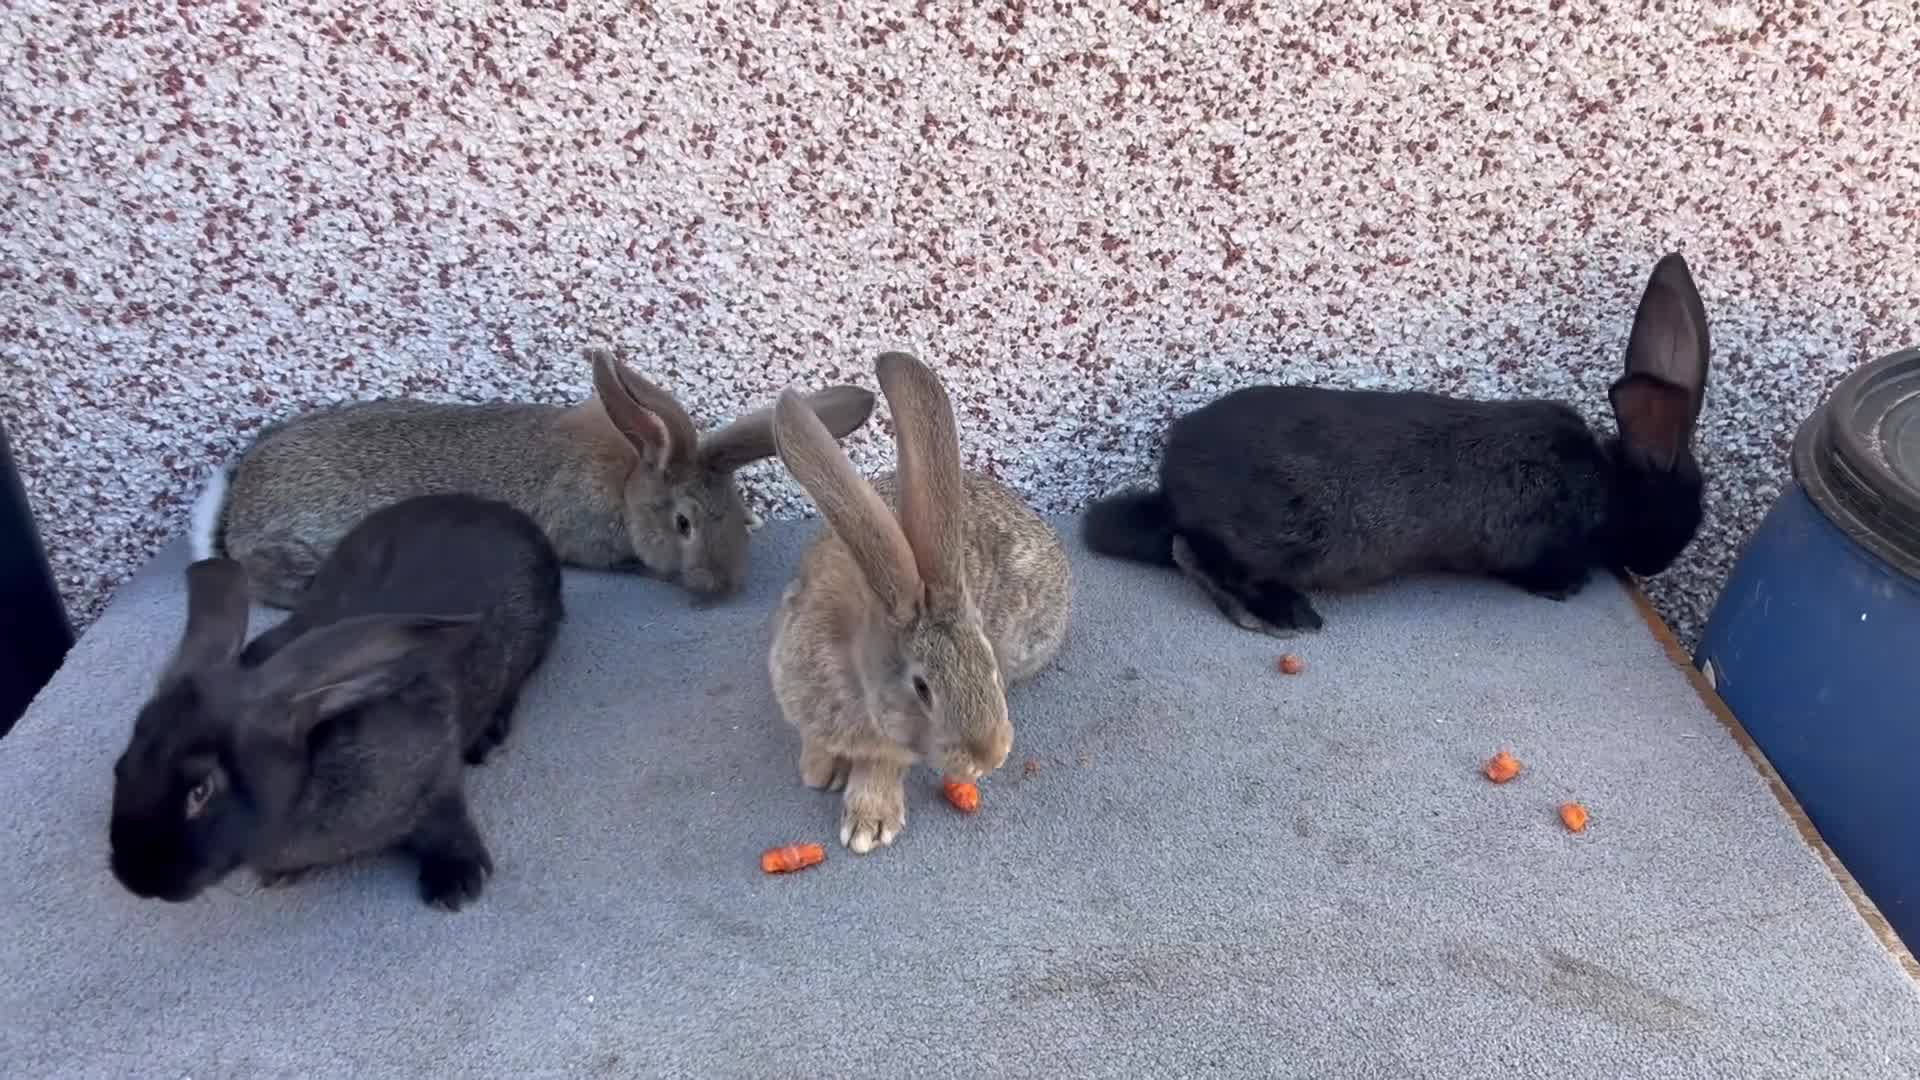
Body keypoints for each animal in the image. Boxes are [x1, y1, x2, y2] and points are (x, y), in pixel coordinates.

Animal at [109, 492, 565, 912]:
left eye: (201, 790)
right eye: (121, 765)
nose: (136, 881)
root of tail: (501, 511)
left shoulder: (436, 776)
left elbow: (447, 822)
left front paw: (456, 885)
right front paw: (281, 875)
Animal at [767, 350, 1072, 854]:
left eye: (988, 664)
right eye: (922, 687)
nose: (992, 755)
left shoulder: (888, 742)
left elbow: (880, 767)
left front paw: (869, 823)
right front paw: (817, 771)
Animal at [1082, 252, 1712, 636]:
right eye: (1686, 519)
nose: (1657, 566)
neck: (1609, 485)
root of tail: (1171, 477)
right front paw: (1566, 588)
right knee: (1189, 553)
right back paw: (1279, 614)